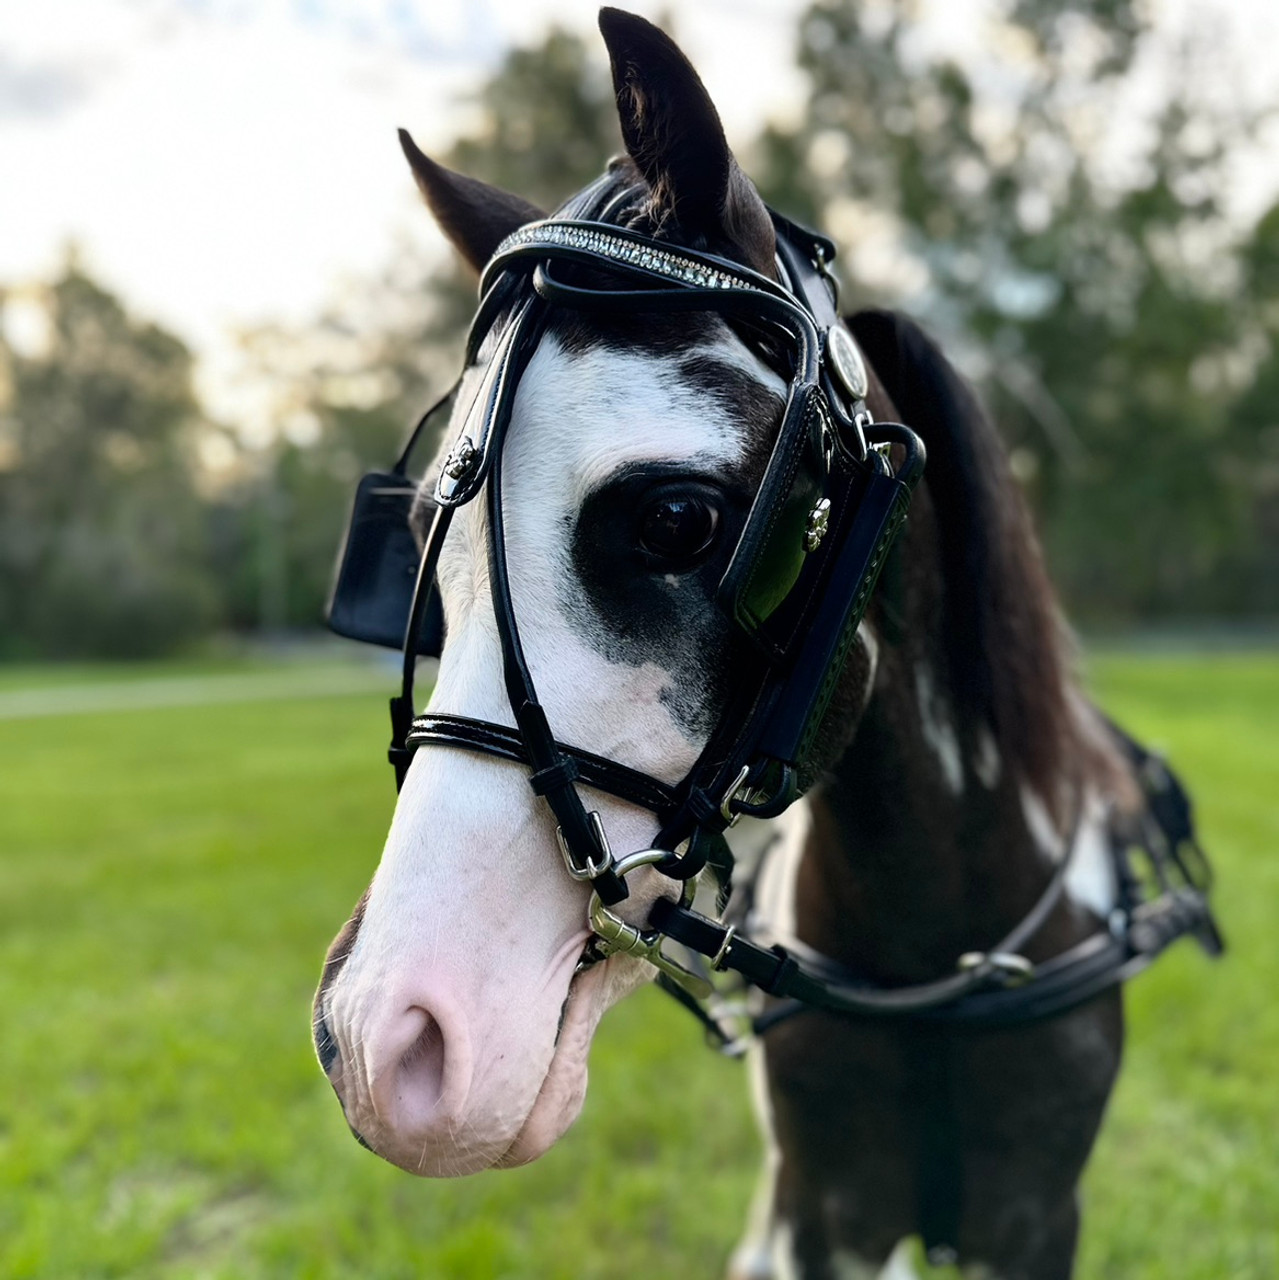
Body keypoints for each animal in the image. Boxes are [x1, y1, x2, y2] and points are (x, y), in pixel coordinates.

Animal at [309, 12, 1218, 1280]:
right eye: (411, 540)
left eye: (677, 518)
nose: (384, 1035)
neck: (940, 961)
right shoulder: (820, 1211)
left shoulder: (1035, 1218)